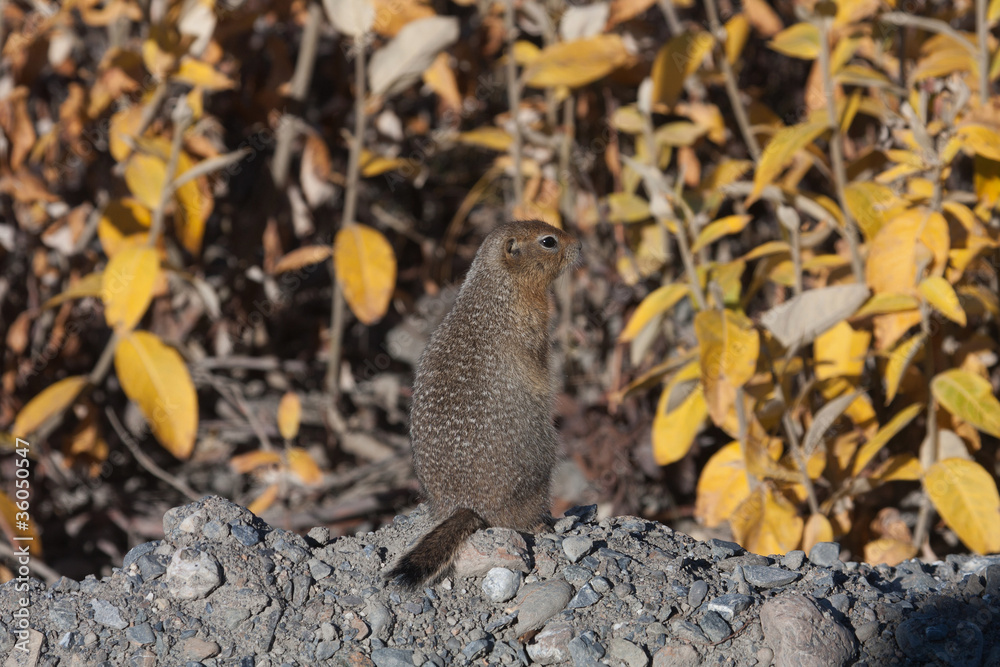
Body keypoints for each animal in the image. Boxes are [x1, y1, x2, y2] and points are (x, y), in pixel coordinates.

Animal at [386, 219, 581, 589]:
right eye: (548, 241)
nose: (580, 246)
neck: (496, 289)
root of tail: (465, 505)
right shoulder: (533, 327)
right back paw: (546, 523)